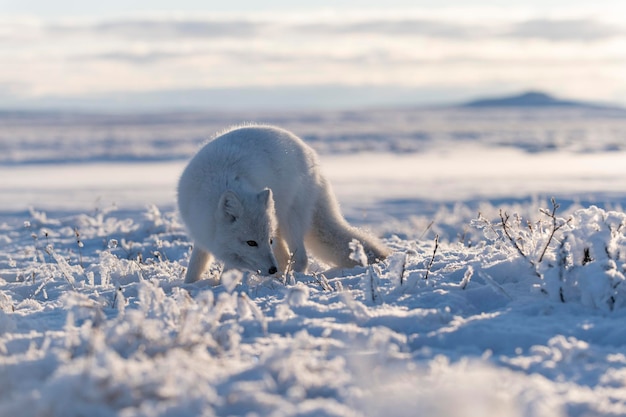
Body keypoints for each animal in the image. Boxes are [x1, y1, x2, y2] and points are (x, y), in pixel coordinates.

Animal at [177, 124, 390, 282]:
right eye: (251, 242)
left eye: (267, 241)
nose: (271, 269)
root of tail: (312, 157)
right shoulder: (201, 234)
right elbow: (195, 266)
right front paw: (189, 287)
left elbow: (227, 272)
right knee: (287, 258)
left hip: (289, 220)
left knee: (300, 258)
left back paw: (289, 280)